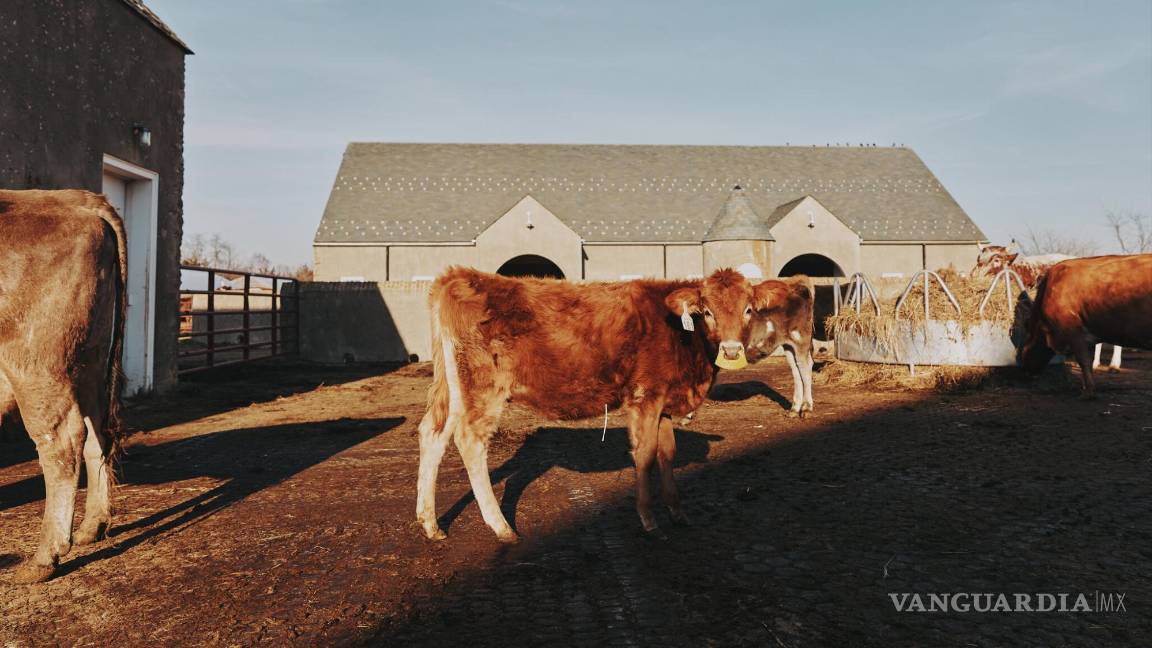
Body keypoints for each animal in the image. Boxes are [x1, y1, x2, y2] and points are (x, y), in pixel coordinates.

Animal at [0, 190, 126, 583]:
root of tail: (75, 198)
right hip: (88, 363)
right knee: (96, 433)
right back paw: (92, 527)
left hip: (37, 367)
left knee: (62, 444)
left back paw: (45, 558)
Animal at [415, 267, 772, 541]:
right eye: (707, 312)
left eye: (748, 310)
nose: (731, 351)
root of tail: (462, 276)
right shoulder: (645, 396)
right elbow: (645, 454)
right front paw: (649, 521)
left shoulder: (665, 401)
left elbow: (667, 453)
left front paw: (677, 512)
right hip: (484, 386)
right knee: (469, 440)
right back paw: (502, 528)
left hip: (454, 385)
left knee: (433, 433)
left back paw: (431, 525)